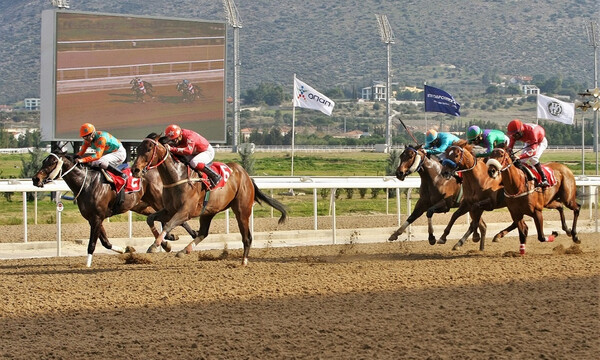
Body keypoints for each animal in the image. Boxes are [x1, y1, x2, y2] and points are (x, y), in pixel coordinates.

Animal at [31, 148, 196, 266]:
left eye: (52, 162)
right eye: (43, 161)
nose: (35, 179)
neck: (87, 182)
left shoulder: (97, 217)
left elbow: (92, 244)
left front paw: (87, 264)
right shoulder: (94, 218)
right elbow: (105, 242)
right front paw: (126, 249)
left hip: (157, 200)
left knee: (176, 216)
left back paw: (185, 235)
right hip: (142, 206)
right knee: (159, 217)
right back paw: (169, 240)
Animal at [132, 134, 288, 266]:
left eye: (148, 149)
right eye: (137, 149)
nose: (135, 170)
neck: (178, 177)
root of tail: (246, 175)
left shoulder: (185, 211)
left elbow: (168, 225)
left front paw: (156, 244)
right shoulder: (169, 210)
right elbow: (151, 219)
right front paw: (162, 244)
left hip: (242, 211)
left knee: (247, 237)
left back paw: (244, 261)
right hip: (208, 211)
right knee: (203, 232)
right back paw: (184, 250)